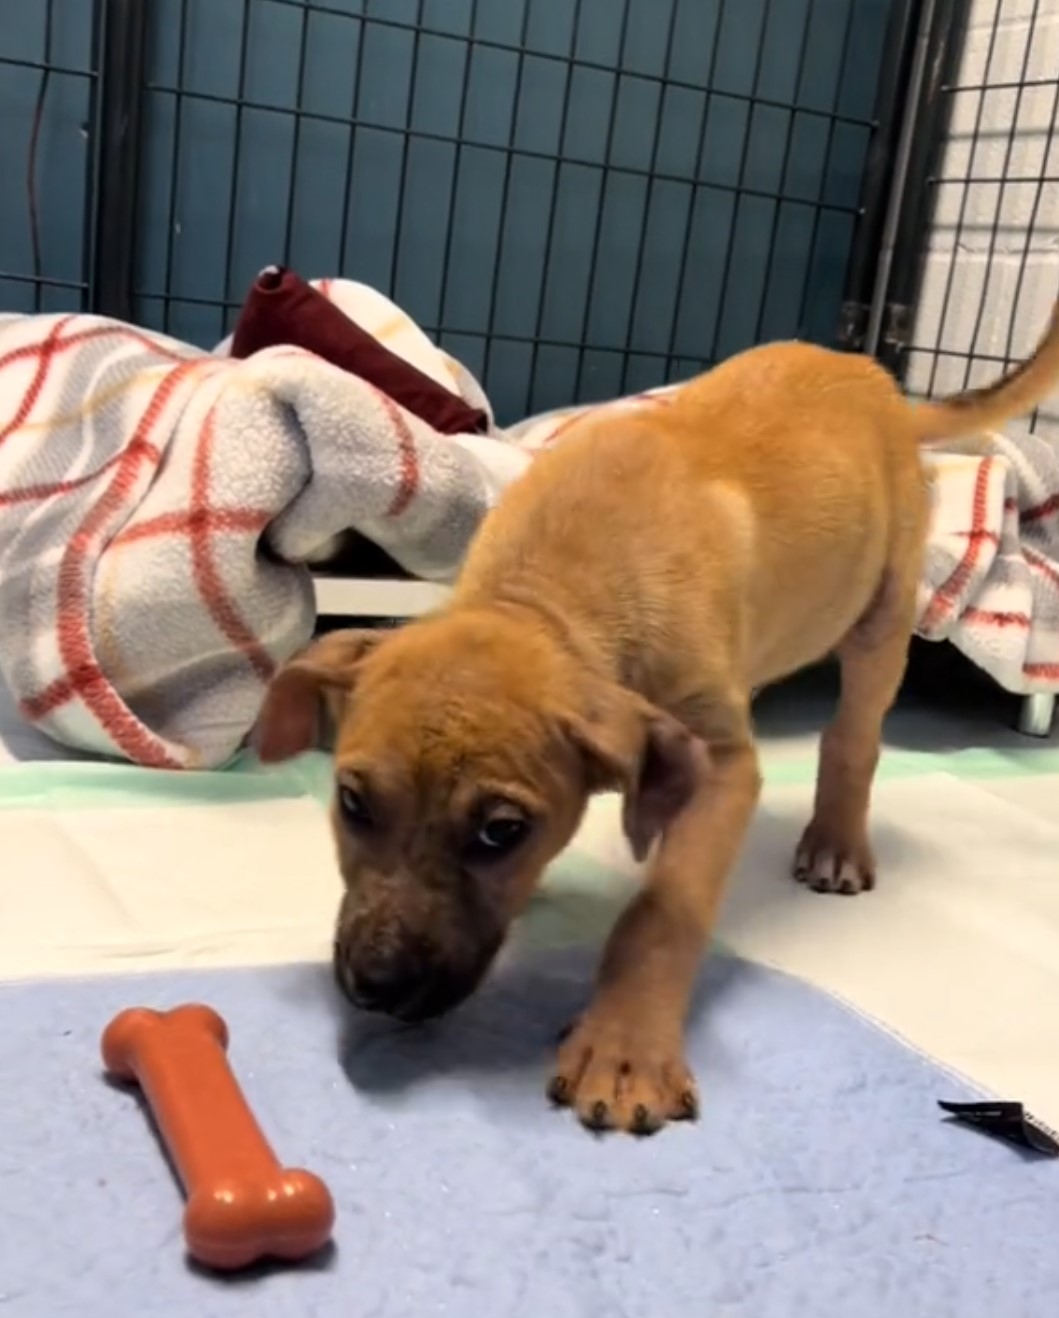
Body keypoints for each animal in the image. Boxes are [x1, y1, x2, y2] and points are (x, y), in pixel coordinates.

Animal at [254, 305, 1059, 1133]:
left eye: (501, 831)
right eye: (352, 803)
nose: (375, 984)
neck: (550, 589)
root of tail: (879, 381)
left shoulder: (720, 766)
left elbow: (662, 910)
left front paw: (623, 1049)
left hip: (882, 610)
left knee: (851, 737)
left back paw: (835, 841)